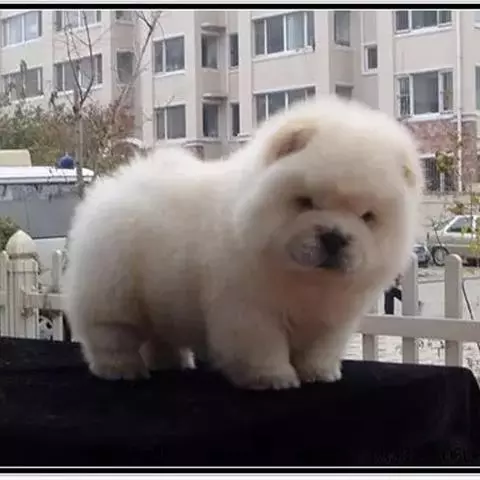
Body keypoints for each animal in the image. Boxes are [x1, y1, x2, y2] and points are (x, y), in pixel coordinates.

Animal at [64, 95, 423, 390]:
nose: (334, 237)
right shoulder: (249, 308)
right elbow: (262, 346)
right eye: (305, 202)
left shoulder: (331, 320)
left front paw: (320, 374)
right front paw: (275, 379)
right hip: (113, 294)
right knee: (110, 335)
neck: (308, 283)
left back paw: (172, 364)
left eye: (367, 217)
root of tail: (113, 185)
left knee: (159, 338)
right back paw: (123, 369)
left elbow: (319, 349)